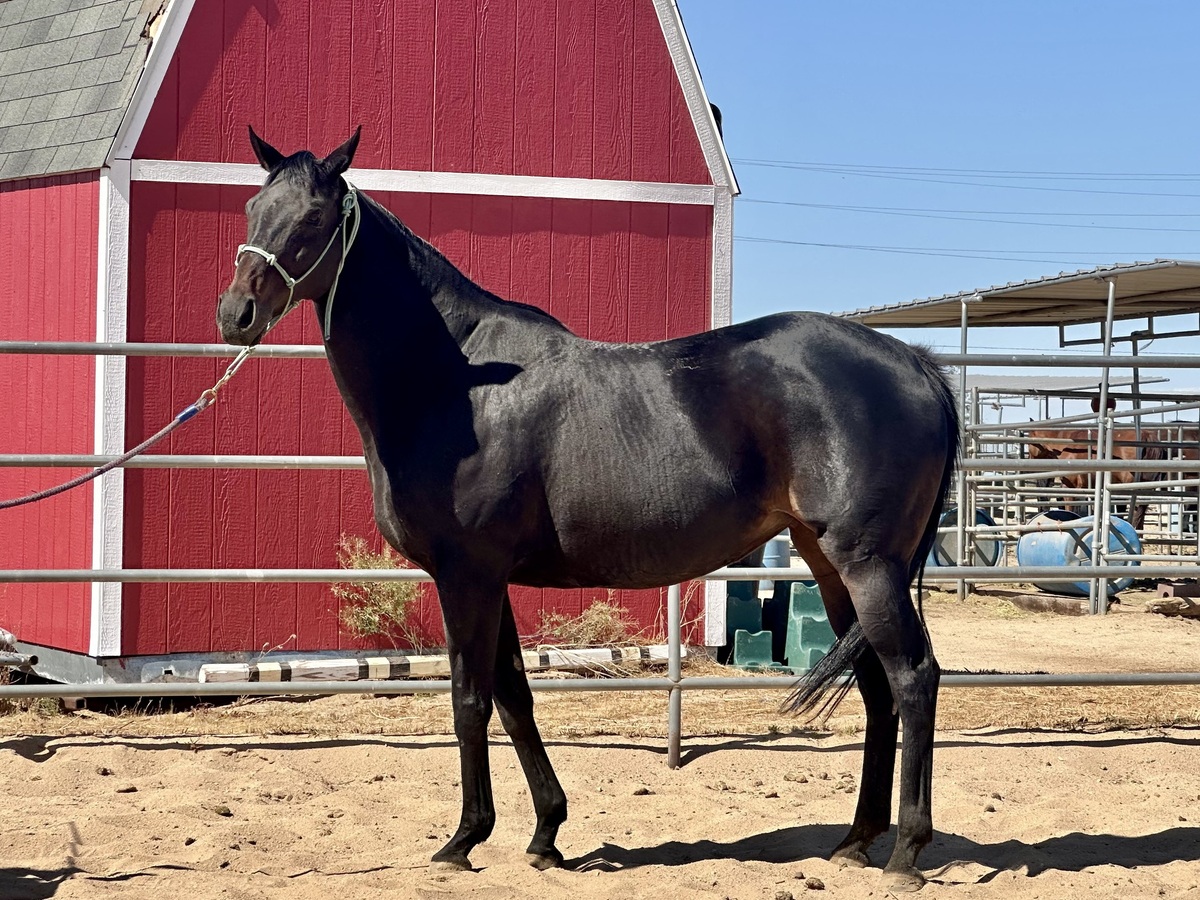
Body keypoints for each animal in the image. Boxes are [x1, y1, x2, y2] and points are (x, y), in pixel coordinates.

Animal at [216, 128, 960, 892]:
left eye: (311, 219)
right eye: (252, 208)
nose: (235, 314)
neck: (453, 384)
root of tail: (916, 362)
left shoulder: (465, 575)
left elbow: (469, 700)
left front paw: (463, 839)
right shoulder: (491, 579)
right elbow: (514, 696)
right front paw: (545, 833)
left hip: (868, 566)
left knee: (913, 678)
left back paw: (906, 852)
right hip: (831, 565)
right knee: (876, 687)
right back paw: (855, 841)